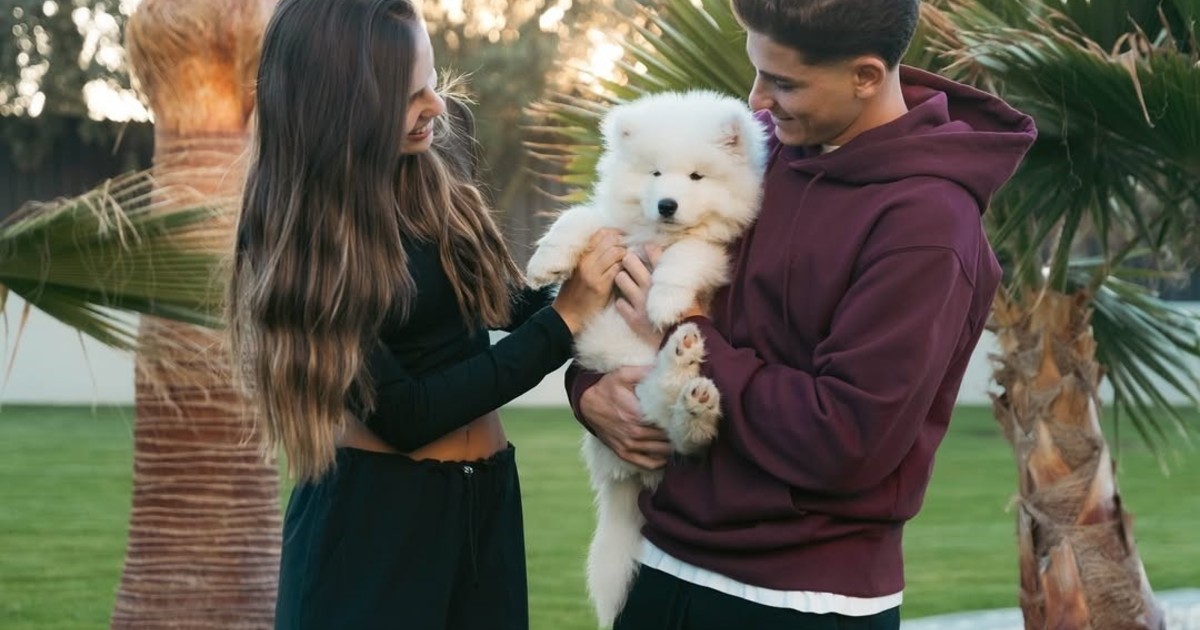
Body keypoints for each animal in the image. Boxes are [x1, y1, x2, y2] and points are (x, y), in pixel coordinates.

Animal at [526, 90, 767, 627]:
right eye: (655, 173)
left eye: (696, 177)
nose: (667, 204)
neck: (658, 235)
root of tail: (631, 478)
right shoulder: (614, 229)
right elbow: (578, 218)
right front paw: (545, 262)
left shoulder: (713, 253)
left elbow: (685, 258)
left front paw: (662, 302)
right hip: (617, 370)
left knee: (675, 422)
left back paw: (690, 386)